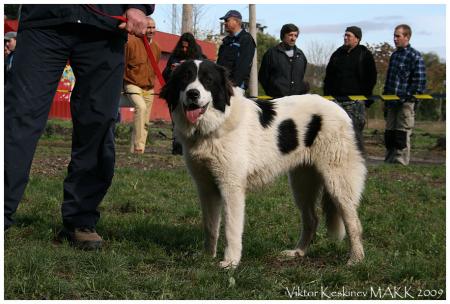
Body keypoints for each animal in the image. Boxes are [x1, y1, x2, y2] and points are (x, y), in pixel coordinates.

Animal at [161, 59, 366, 268]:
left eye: (208, 80)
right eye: (185, 78)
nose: (193, 94)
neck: (215, 125)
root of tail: (341, 111)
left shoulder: (231, 187)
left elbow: (231, 229)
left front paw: (231, 262)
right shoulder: (206, 188)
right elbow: (210, 226)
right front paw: (207, 257)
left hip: (338, 182)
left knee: (353, 222)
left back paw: (356, 259)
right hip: (302, 185)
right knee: (312, 219)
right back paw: (297, 252)